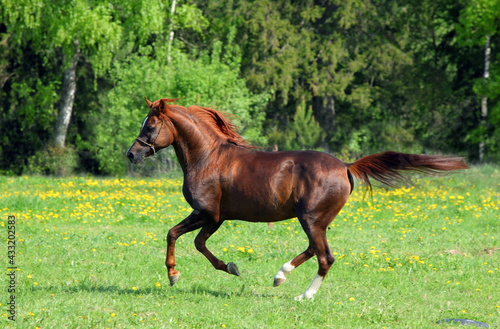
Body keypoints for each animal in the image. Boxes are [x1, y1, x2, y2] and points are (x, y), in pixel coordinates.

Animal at [126, 97, 468, 300]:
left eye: (150, 125)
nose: (131, 154)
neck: (207, 157)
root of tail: (346, 166)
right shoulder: (215, 218)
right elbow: (194, 242)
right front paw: (229, 267)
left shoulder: (207, 214)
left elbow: (176, 235)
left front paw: (175, 275)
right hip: (317, 220)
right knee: (316, 250)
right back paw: (284, 278)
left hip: (311, 218)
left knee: (325, 256)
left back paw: (299, 291)